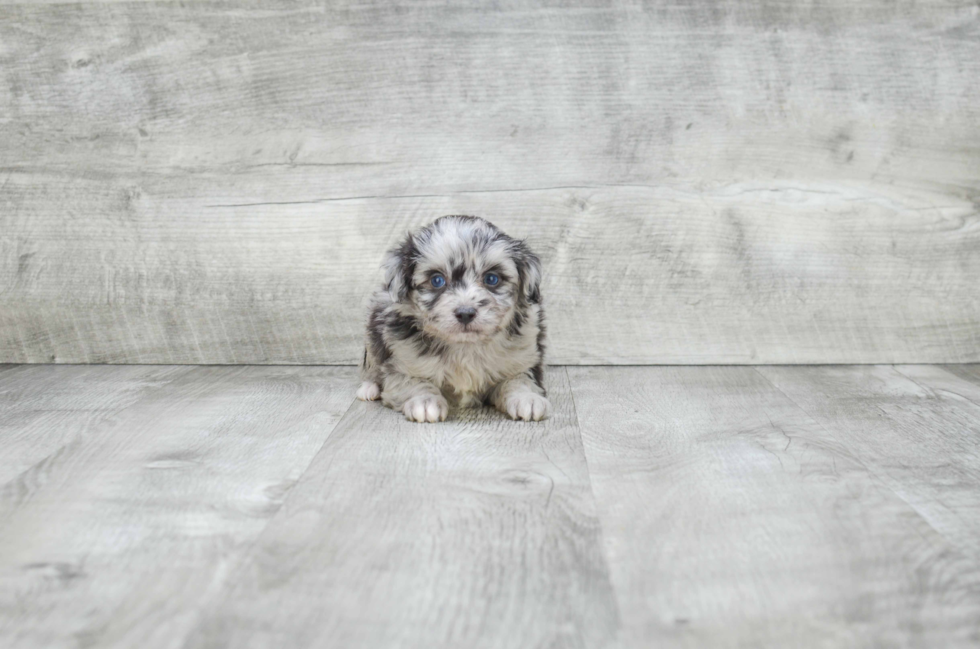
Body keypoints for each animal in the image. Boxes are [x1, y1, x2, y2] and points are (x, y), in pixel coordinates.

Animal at [354, 215, 552, 422]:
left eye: (491, 279)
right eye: (437, 280)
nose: (465, 313)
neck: (465, 347)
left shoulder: (524, 360)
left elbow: (519, 380)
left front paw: (527, 398)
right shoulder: (400, 364)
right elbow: (413, 381)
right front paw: (424, 401)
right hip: (373, 327)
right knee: (371, 365)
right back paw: (368, 388)